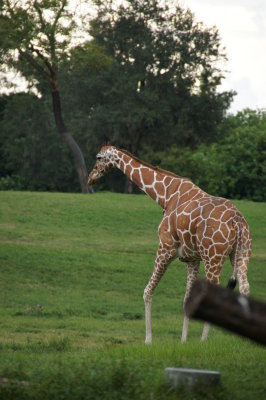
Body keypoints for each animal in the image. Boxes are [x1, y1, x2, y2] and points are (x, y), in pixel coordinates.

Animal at [88, 146, 251, 344]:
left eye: (98, 157)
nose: (90, 178)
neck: (165, 195)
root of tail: (237, 221)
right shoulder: (192, 258)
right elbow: (187, 299)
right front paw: (183, 341)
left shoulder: (166, 247)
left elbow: (147, 291)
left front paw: (148, 340)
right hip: (241, 253)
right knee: (244, 287)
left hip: (213, 256)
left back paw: (204, 340)